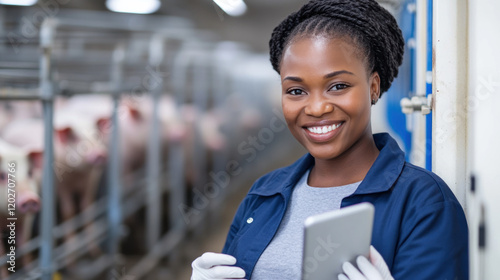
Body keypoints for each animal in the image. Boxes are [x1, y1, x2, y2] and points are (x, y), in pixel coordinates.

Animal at [0, 138, 42, 278]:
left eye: (30, 173)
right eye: (2, 176)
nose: (29, 198)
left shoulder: (27, 219)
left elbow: (24, 245)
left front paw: (30, 273)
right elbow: (2, 253)